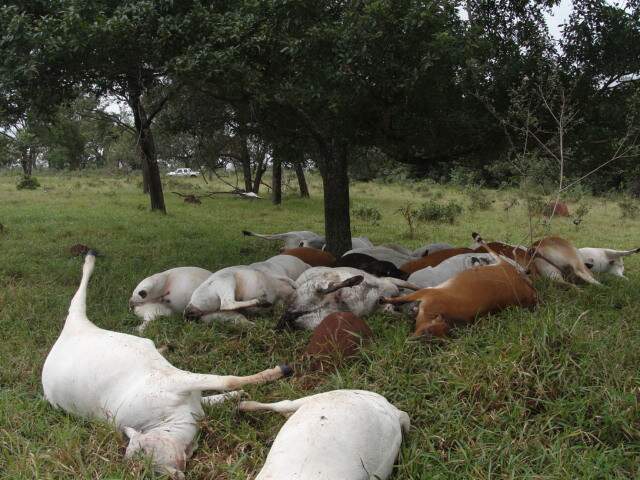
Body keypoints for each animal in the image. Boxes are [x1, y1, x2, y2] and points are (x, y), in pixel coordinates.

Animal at [41, 253, 288, 478]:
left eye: (142, 452)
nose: (173, 473)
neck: (168, 419)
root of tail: (68, 333)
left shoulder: (176, 381)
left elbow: (225, 382)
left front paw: (264, 379)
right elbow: (223, 388)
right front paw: (247, 390)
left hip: (88, 316)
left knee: (78, 300)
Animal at [278, 266, 418, 330]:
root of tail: (292, 310)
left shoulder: (386, 308)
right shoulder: (391, 282)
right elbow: (412, 286)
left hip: (318, 319)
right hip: (314, 287)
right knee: (326, 287)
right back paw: (354, 280)